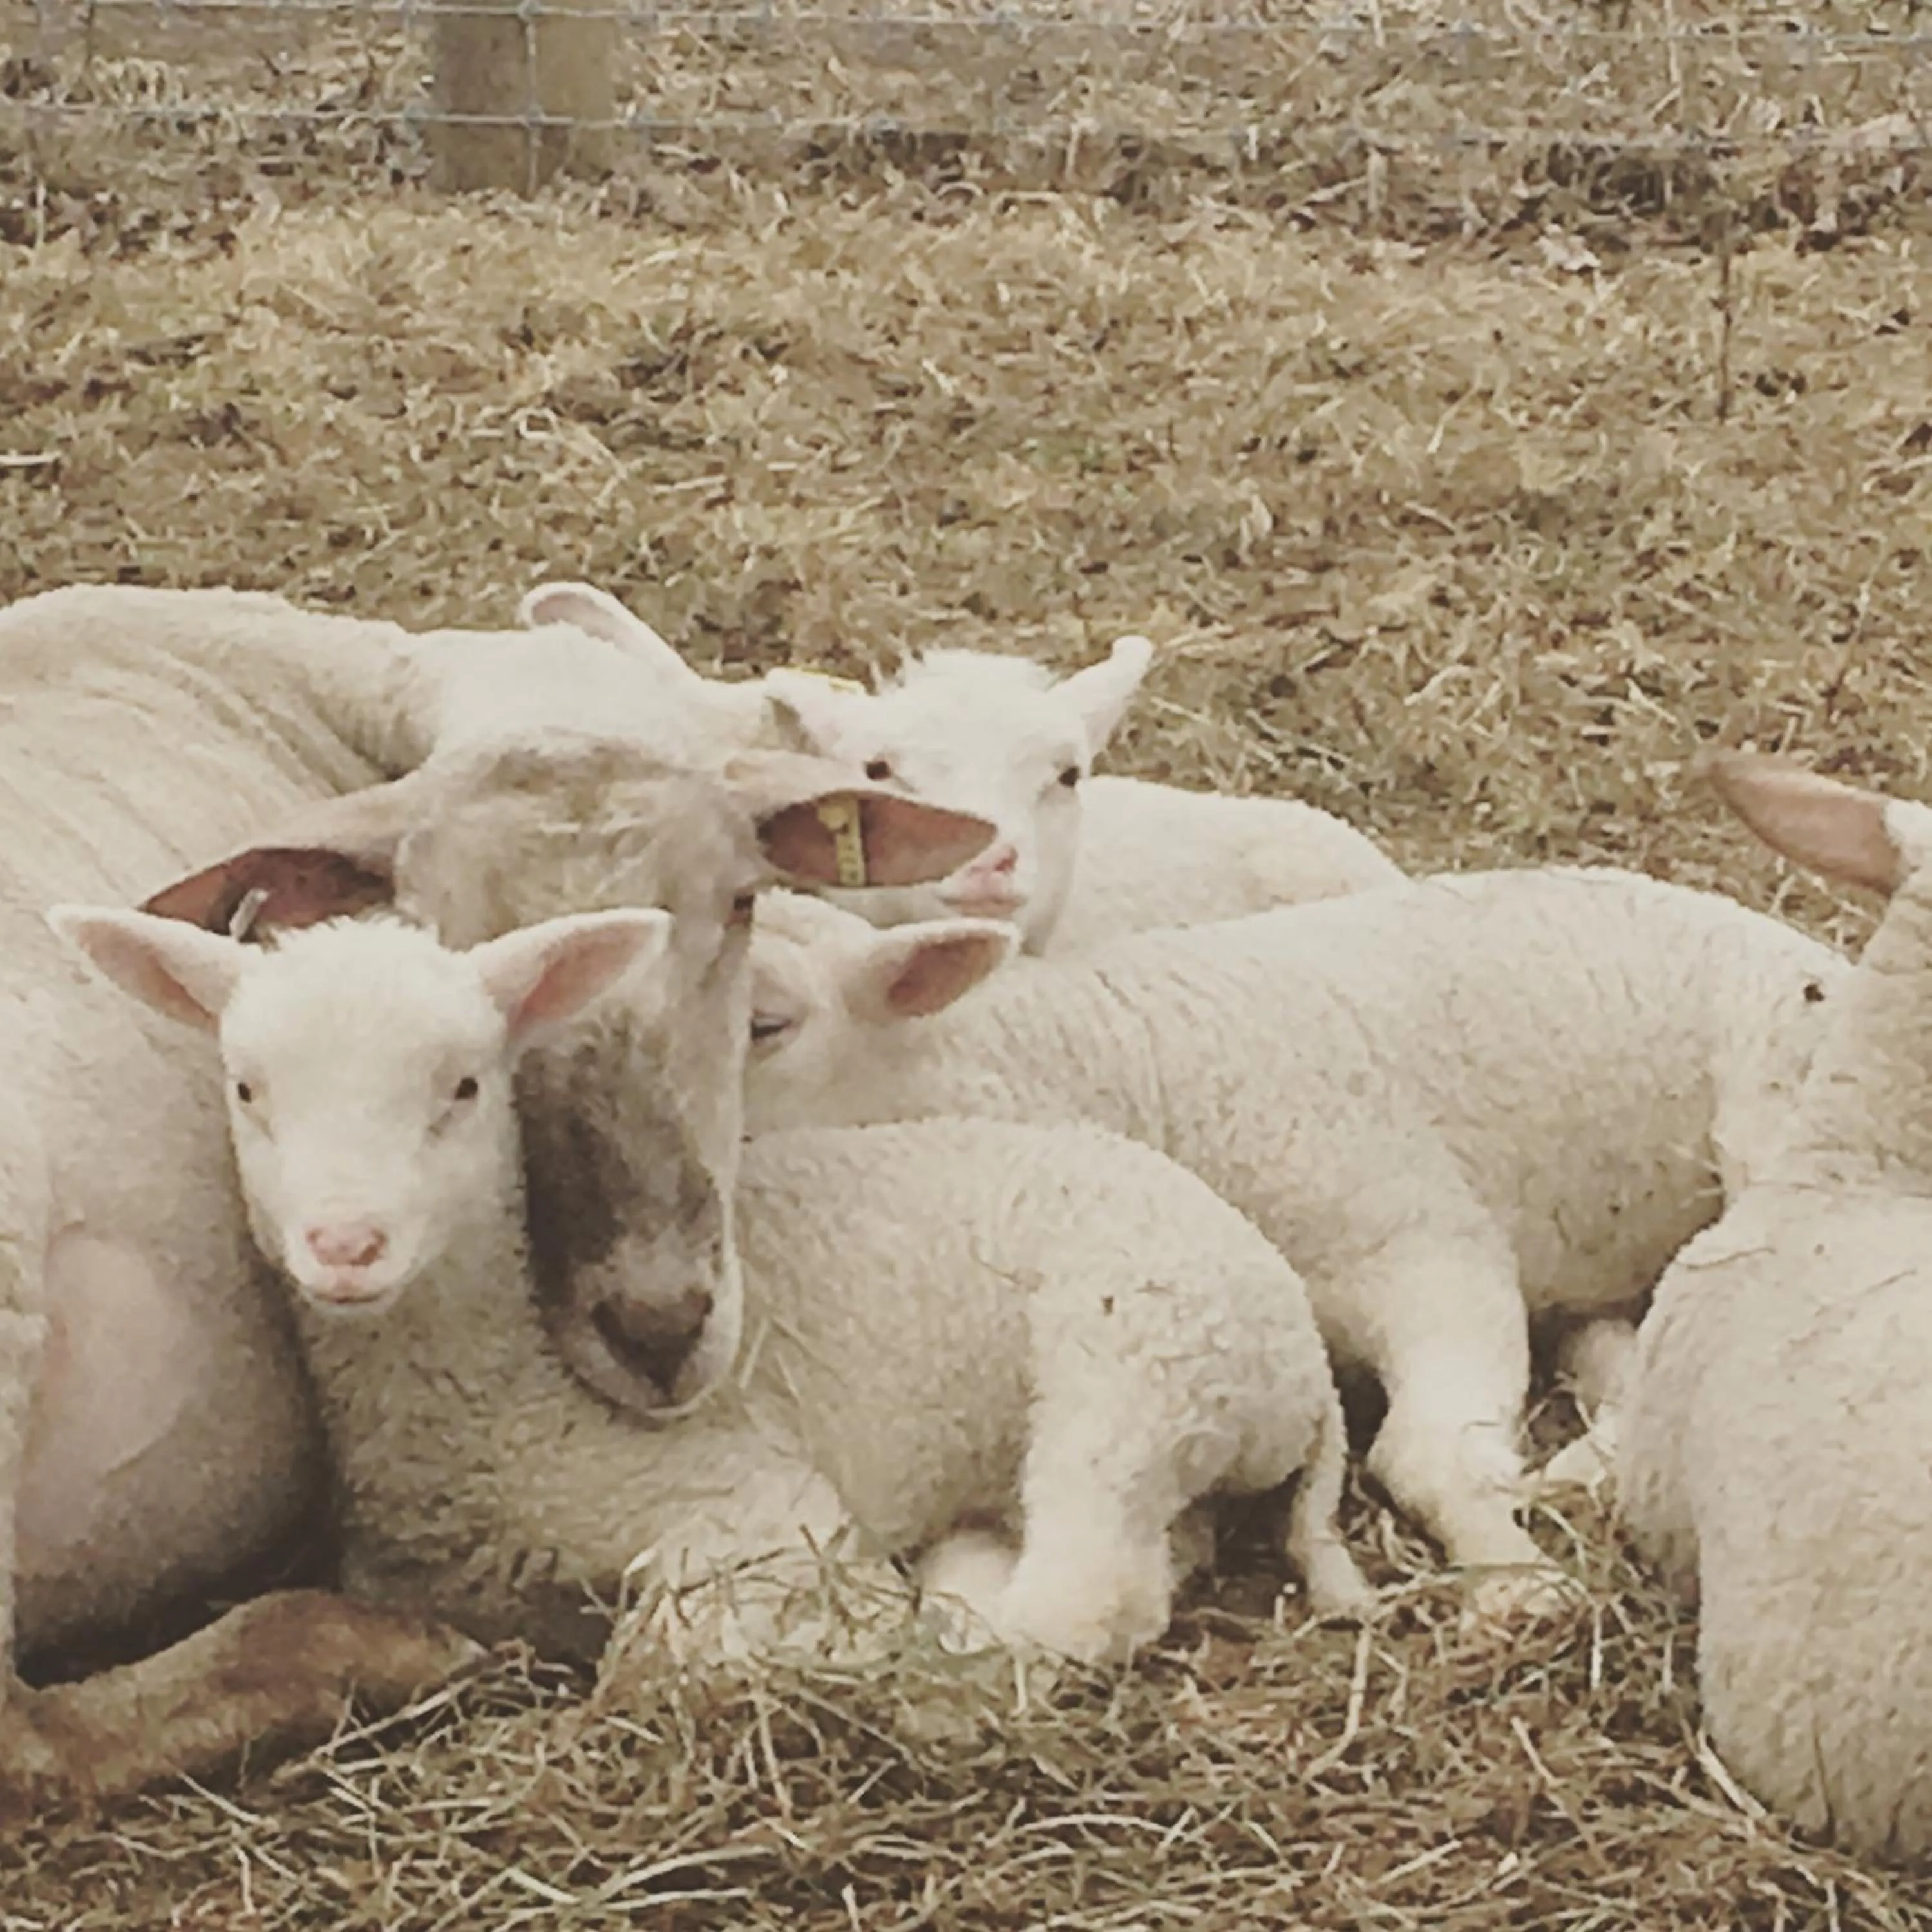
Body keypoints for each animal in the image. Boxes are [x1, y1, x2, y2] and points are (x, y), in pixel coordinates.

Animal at [49, 903, 1372, 1672]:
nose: (345, 1245)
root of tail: (1302, 1367)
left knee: (1089, 1595)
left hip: (1135, 1363)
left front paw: (832, 1629)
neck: (508, 1392)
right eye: (247, 1089)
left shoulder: (751, 1501)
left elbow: (677, 1649)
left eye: (466, 1087)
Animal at [738, 868, 1849, 1618]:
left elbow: (1427, 1450)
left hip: (1766, 1117)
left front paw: (1515, 1582)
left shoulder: (1426, 1245)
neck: (1108, 1066)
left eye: (762, 1023)